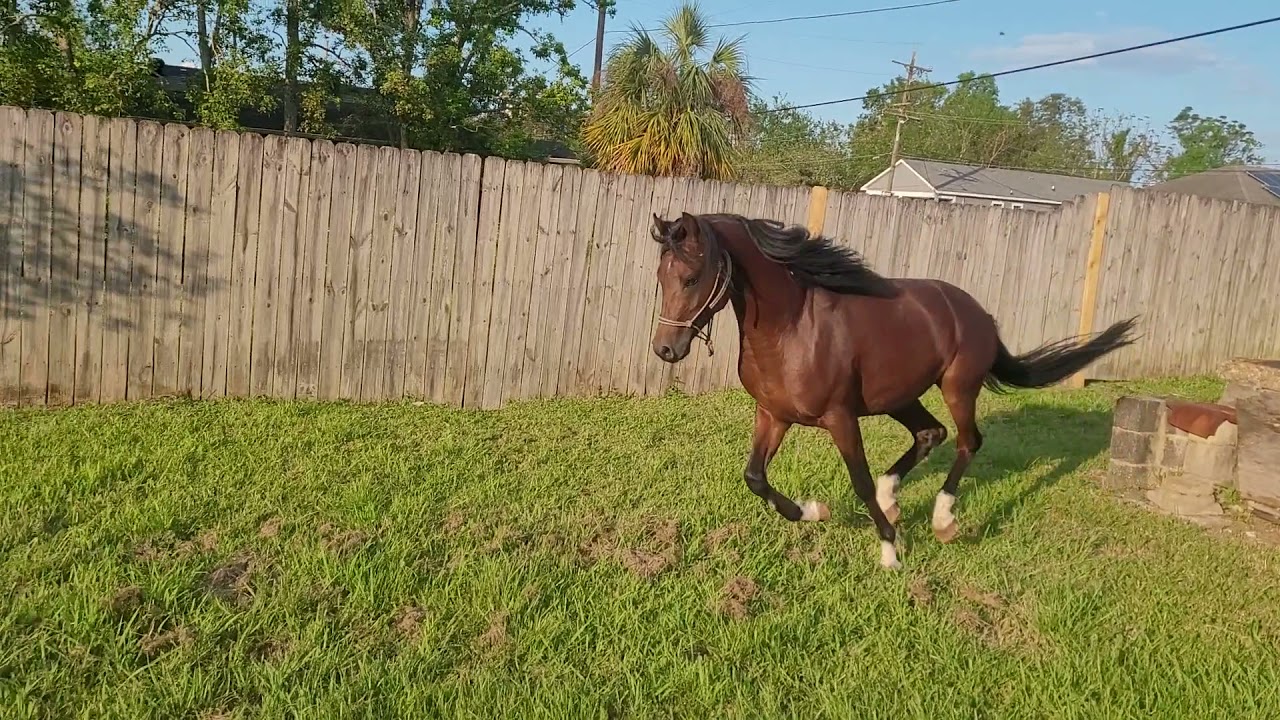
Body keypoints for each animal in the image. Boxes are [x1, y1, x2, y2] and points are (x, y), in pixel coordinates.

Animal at [648, 211, 1138, 570]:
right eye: (660, 277)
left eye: (691, 278)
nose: (665, 349)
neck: (791, 327)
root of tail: (977, 312)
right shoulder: (773, 414)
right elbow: (755, 478)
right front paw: (816, 511)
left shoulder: (840, 417)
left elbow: (859, 481)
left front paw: (889, 550)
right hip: (900, 397)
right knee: (930, 434)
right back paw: (895, 499)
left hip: (958, 388)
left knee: (967, 441)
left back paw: (943, 521)